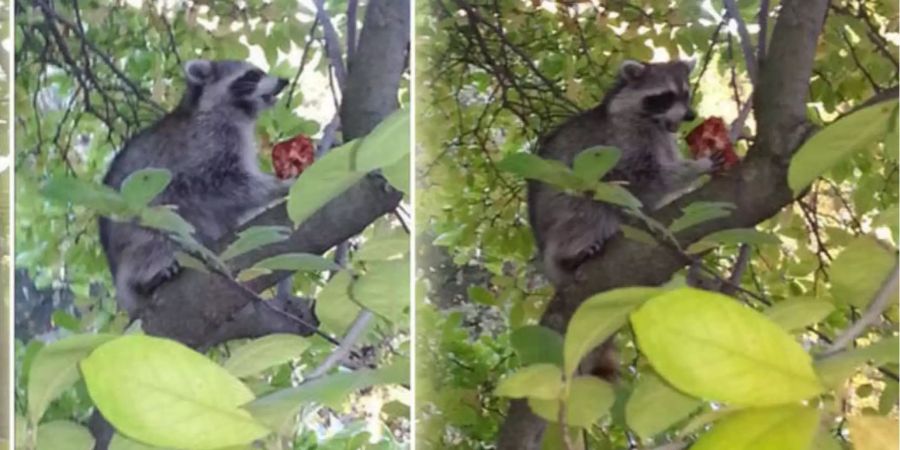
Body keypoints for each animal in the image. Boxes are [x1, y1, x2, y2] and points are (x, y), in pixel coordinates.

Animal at [101, 59, 292, 316]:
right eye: (253, 75)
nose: (284, 81)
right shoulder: (204, 143)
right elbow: (224, 183)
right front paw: (279, 185)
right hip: (138, 225)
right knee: (156, 239)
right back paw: (148, 275)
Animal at [528, 59, 724, 284]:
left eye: (686, 94)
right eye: (666, 97)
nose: (691, 115)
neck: (653, 121)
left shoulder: (663, 139)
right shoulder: (622, 138)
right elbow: (644, 177)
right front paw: (700, 166)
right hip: (563, 201)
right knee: (586, 209)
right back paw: (570, 253)